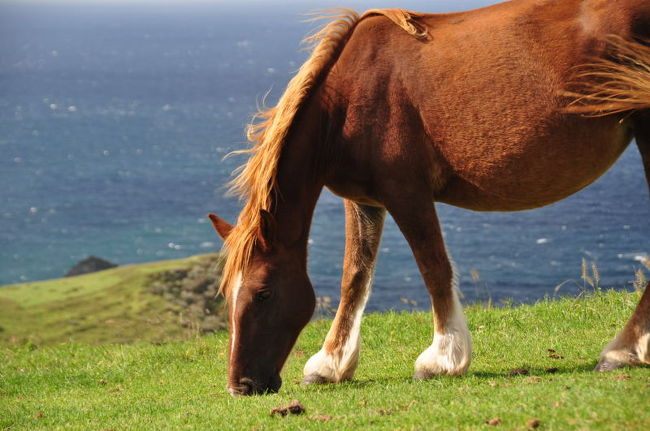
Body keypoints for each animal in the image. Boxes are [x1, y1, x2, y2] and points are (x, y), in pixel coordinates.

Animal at [208, 0, 648, 396]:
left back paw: (623, 351)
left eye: (263, 293)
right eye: (228, 295)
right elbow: (355, 276)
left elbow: (433, 267)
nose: (240, 386)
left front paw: (442, 359)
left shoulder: (407, 193)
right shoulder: (364, 201)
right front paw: (330, 365)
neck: (347, 102)